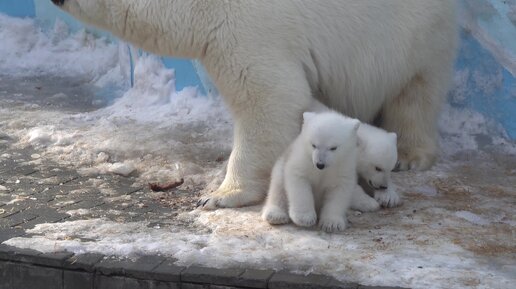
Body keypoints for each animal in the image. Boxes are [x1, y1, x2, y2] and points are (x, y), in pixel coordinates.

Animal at [52, 0, 456, 207]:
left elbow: (271, 98)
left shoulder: (246, 31)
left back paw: (409, 153)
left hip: (411, 34)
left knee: (417, 89)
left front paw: (220, 195)